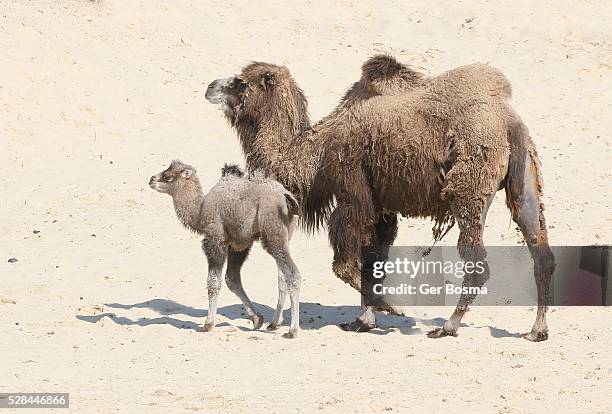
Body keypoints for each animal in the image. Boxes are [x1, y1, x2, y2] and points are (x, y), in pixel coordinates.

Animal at [204, 54, 556, 340]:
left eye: (240, 82)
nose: (209, 86)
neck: (319, 150)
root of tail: (507, 122)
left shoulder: (352, 190)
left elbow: (346, 265)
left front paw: (390, 309)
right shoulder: (383, 207)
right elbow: (374, 258)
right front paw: (364, 320)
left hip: (468, 186)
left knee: (477, 261)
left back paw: (448, 325)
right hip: (525, 178)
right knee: (540, 249)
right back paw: (537, 330)